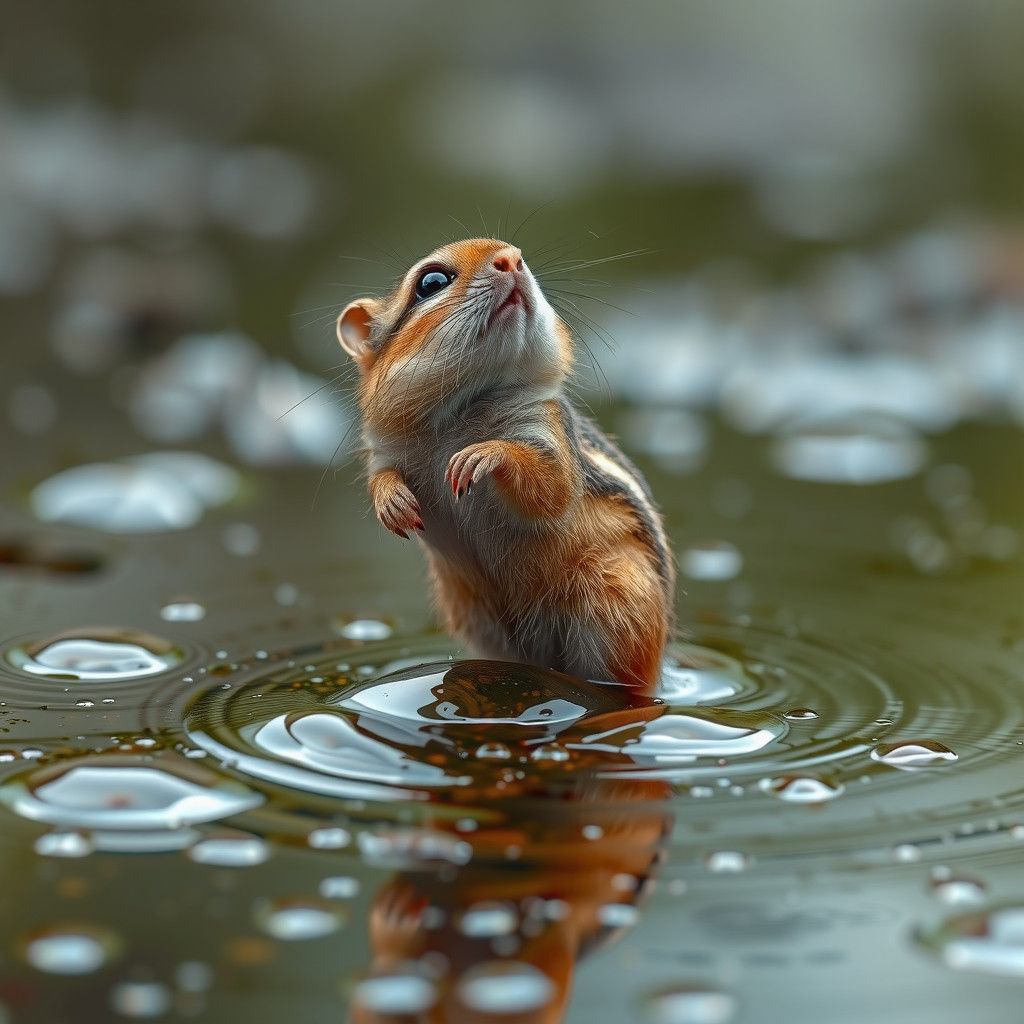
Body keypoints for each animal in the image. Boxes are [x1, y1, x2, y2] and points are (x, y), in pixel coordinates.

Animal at [337, 238, 673, 690]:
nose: (511, 258)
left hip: (616, 609)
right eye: (431, 283)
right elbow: (380, 477)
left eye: (520, 256)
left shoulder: (546, 428)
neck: (459, 412)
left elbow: (551, 487)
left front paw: (485, 454)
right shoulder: (384, 450)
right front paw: (391, 502)